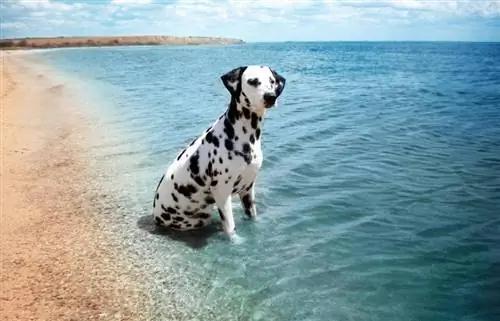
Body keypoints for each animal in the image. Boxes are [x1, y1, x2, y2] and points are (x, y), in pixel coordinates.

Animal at [152, 65, 286, 240]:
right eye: (253, 81)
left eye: (272, 81)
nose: (270, 97)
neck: (243, 134)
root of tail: (156, 216)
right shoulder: (222, 193)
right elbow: (231, 229)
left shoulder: (247, 190)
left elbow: (253, 217)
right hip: (196, 220)